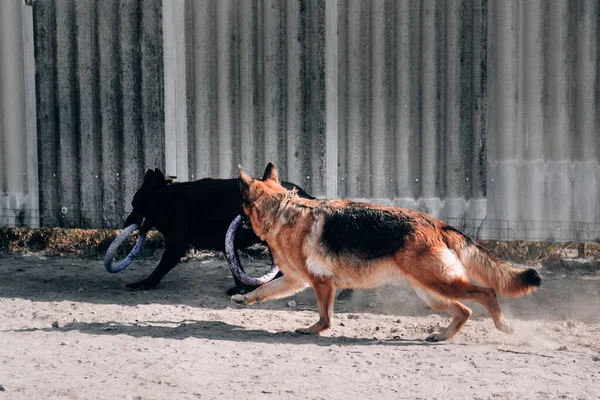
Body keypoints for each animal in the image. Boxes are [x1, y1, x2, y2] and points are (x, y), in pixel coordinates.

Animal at [124, 166, 316, 294]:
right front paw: (242, 288)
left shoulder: (175, 247)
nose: (126, 222)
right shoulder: (226, 246)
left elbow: (159, 268)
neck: (167, 199)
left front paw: (145, 283)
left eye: (134, 204)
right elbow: (236, 268)